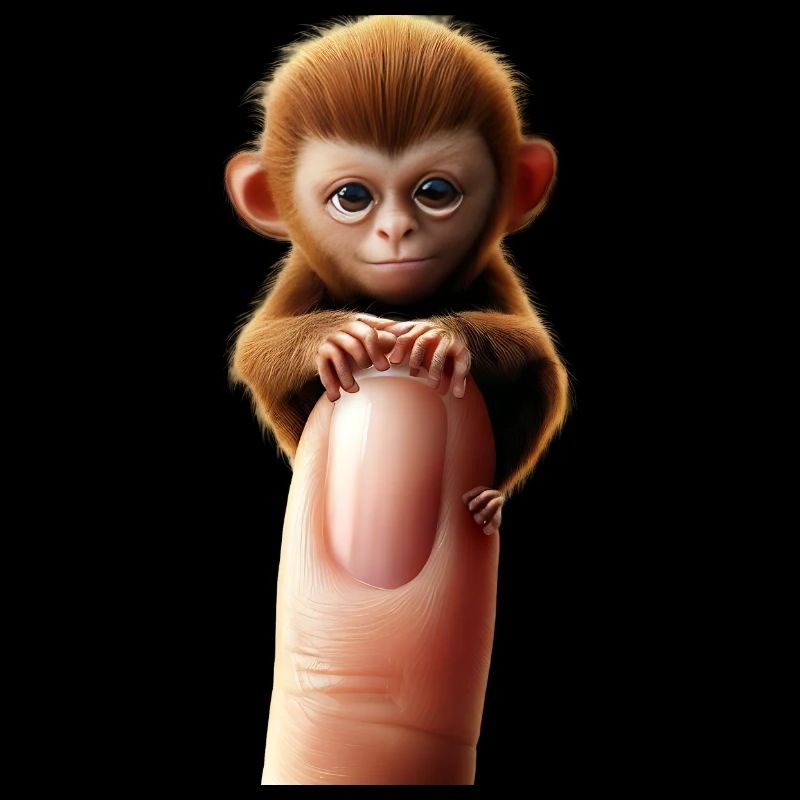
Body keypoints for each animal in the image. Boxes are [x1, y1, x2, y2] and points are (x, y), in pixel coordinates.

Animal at [225, 15, 571, 537]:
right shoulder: (303, 272)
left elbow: (535, 341)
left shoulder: (491, 268)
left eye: (436, 191)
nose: (396, 230)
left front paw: (446, 338)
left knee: (542, 374)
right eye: (352, 197)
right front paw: (333, 338)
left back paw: (491, 496)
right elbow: (253, 346)